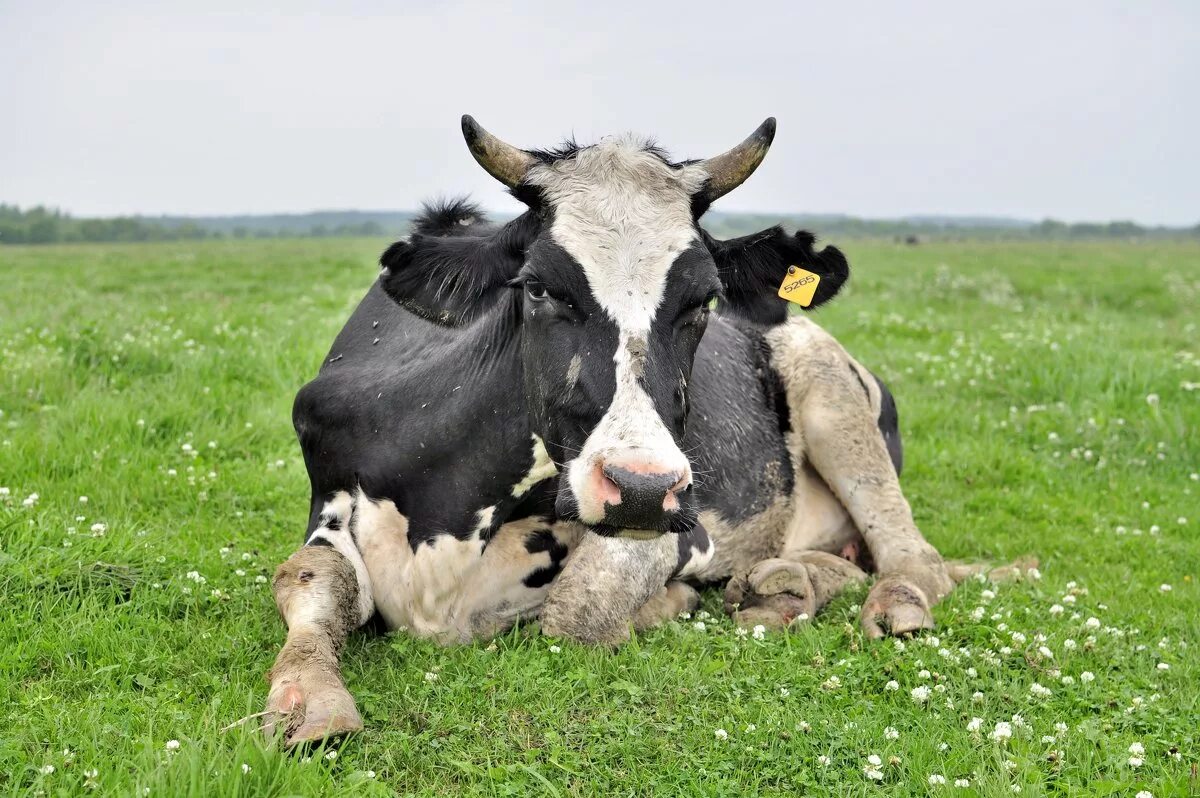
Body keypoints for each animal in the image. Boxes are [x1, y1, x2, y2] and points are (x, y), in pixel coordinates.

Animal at [267, 115, 988, 744]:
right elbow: (308, 575)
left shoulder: (679, 526)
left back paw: (875, 599)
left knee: (911, 557)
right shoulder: (332, 487)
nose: (640, 488)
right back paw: (788, 584)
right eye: (538, 288)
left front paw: (671, 603)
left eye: (705, 299)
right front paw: (306, 697)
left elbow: (577, 610)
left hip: (832, 397)